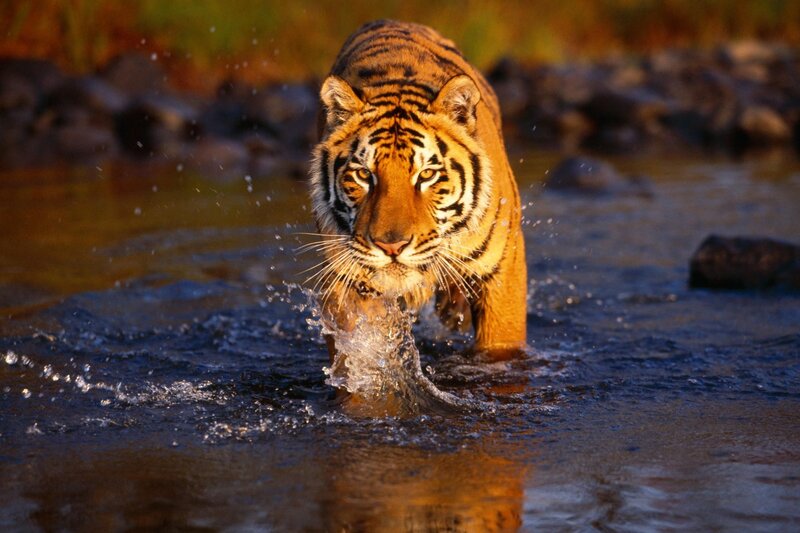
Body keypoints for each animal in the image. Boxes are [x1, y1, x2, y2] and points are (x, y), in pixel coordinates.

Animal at [308, 19, 527, 362]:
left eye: (426, 175)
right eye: (363, 174)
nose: (391, 247)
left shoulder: (502, 269)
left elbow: (500, 344)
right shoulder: (346, 280)